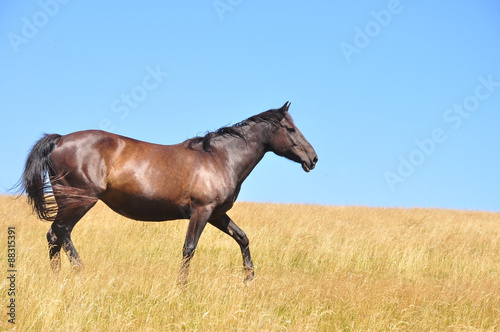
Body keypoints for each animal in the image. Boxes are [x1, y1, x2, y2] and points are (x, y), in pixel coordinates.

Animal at [19, 102, 318, 284]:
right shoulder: (201, 212)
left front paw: (249, 278)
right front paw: (182, 286)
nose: (313, 159)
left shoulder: (217, 215)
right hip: (80, 200)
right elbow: (189, 248)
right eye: (290, 129)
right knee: (62, 231)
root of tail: (60, 140)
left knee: (53, 236)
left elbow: (242, 238)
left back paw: (57, 279)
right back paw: (79, 271)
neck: (220, 158)